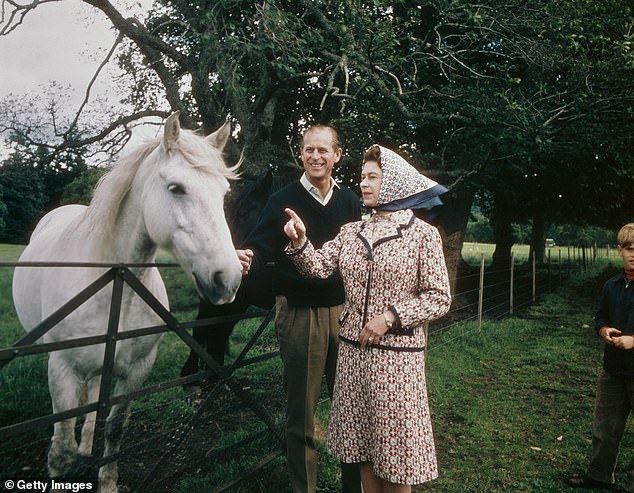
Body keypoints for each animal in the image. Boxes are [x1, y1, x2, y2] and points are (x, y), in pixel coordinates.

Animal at [10, 113, 242, 492]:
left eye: (223, 192)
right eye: (176, 188)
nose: (229, 279)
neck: (116, 286)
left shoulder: (137, 371)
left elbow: (115, 429)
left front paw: (107, 481)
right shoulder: (62, 369)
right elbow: (61, 447)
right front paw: (66, 466)